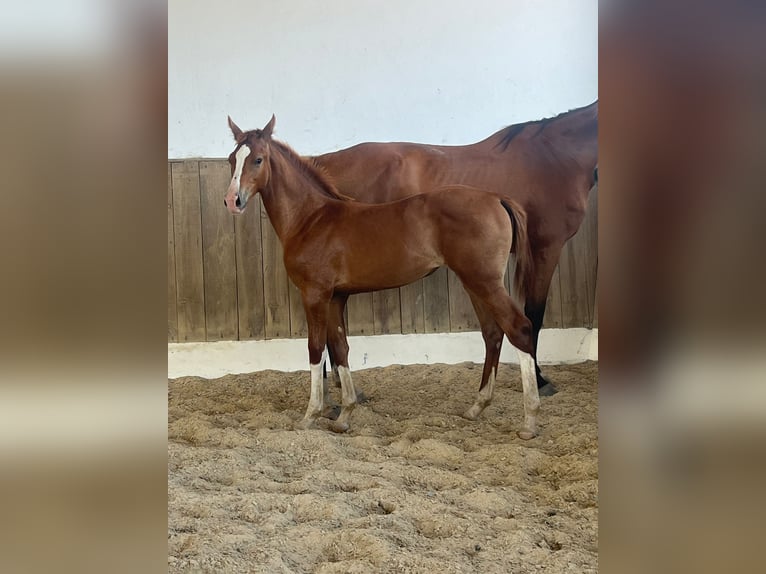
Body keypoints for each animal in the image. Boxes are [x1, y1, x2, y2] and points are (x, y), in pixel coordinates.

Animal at [224, 115, 542, 439]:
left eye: (258, 159)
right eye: (231, 160)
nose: (232, 200)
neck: (311, 219)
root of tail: (497, 198)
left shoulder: (315, 294)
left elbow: (316, 349)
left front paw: (310, 416)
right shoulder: (336, 298)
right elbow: (340, 348)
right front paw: (344, 415)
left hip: (484, 282)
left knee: (519, 328)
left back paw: (529, 420)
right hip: (474, 283)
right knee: (492, 333)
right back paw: (477, 407)